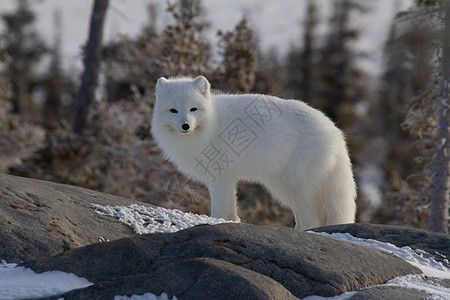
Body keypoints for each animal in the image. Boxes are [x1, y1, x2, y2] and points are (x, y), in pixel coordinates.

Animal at [153, 75, 356, 230]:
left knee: (311, 218)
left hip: (293, 185)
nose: (185, 125)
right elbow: (231, 208)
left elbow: (219, 208)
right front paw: (231, 221)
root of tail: (334, 131)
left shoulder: (220, 177)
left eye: (193, 109)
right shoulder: (227, 179)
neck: (212, 124)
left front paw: (216, 222)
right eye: (173, 110)